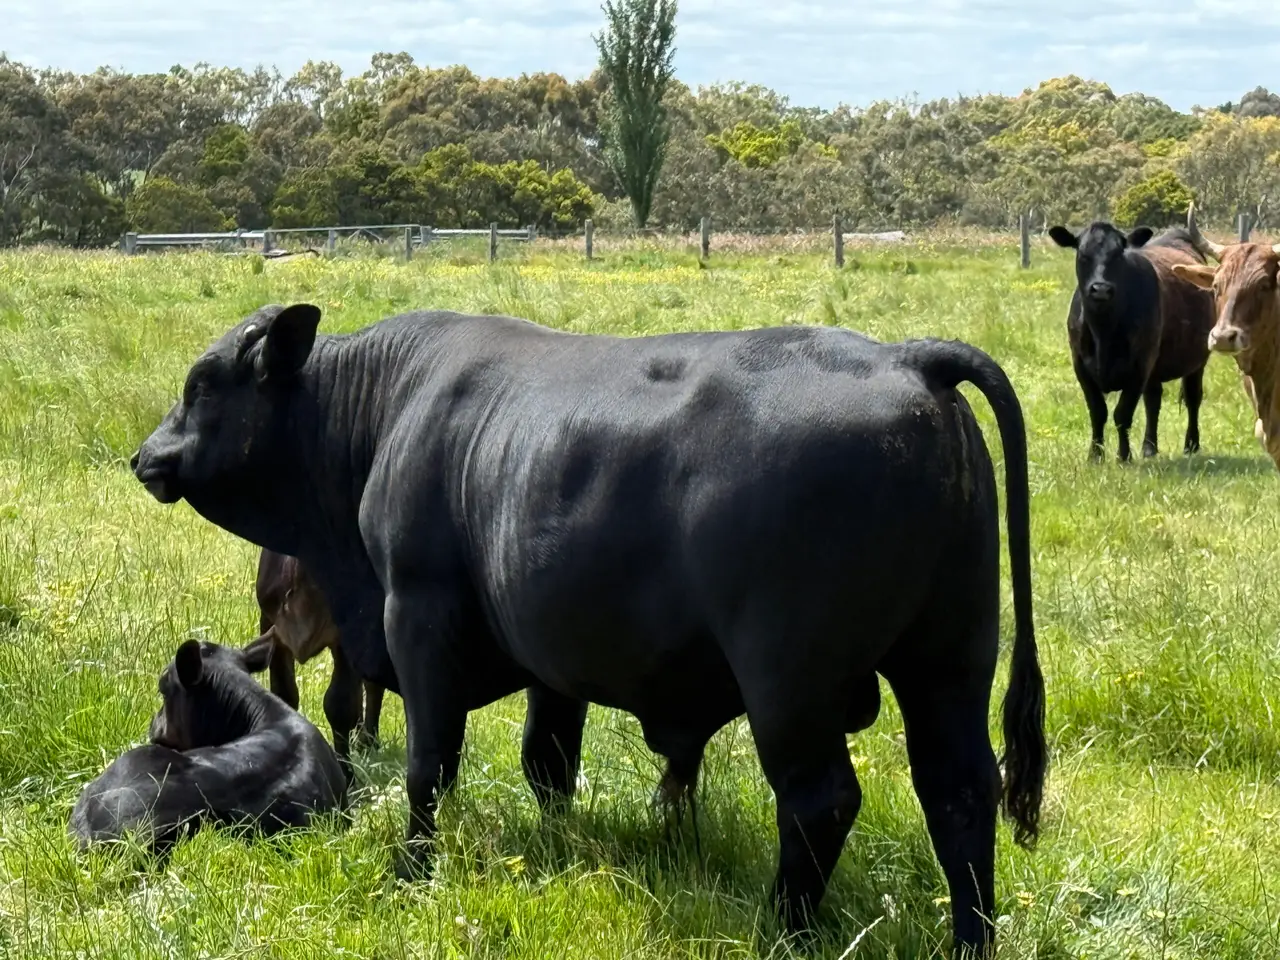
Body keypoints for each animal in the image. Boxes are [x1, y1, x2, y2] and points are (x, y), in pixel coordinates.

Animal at [1048, 220, 1216, 462]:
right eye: (1083, 255)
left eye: (1118, 255)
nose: (1100, 289)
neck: (1103, 331)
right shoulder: (1080, 365)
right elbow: (1097, 412)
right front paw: (1095, 456)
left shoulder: (1138, 367)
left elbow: (1122, 414)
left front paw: (1124, 456)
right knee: (1153, 401)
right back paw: (1149, 448)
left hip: (1196, 361)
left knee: (1193, 399)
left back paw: (1191, 445)